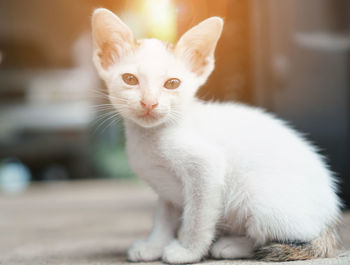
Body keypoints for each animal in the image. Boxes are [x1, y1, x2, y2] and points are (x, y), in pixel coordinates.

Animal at [91, 7, 340, 262]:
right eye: (130, 79)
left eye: (172, 83)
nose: (149, 102)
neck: (151, 137)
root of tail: (329, 220)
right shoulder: (165, 190)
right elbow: (163, 216)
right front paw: (154, 245)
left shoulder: (206, 169)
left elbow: (197, 217)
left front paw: (188, 251)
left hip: (256, 196)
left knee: (274, 236)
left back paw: (231, 245)